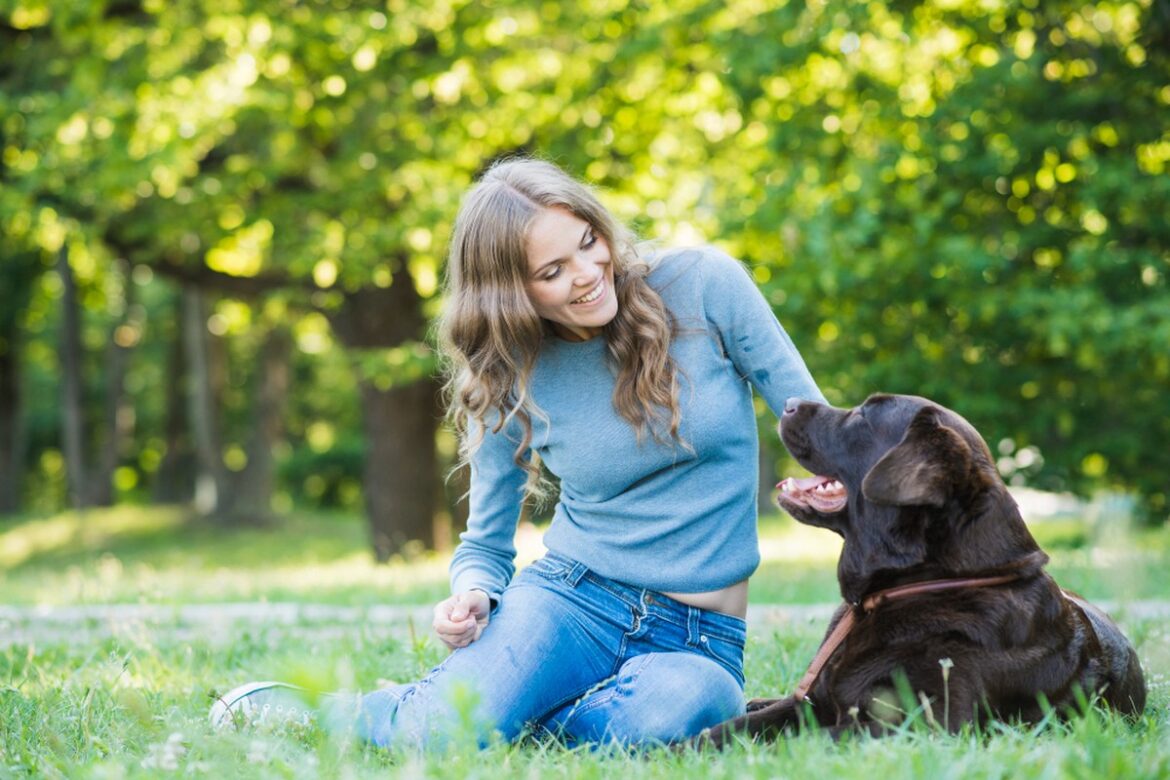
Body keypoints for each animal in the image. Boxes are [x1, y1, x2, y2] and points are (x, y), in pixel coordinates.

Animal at [697, 392, 1146, 748]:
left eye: (863, 415)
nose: (788, 402)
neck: (929, 582)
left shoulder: (923, 726)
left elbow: (802, 738)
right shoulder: (812, 701)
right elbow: (730, 728)